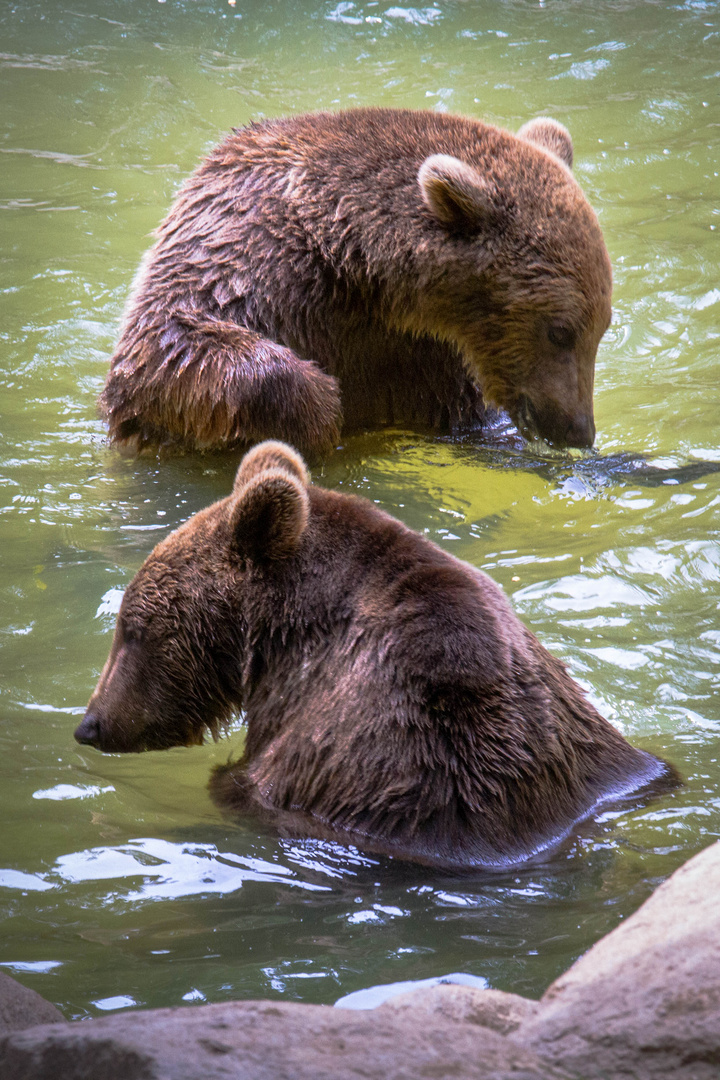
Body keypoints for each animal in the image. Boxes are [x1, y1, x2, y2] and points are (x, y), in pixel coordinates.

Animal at [99, 110, 608, 460]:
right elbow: (166, 346)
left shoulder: (425, 358)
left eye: (600, 328)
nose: (579, 429)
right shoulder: (248, 255)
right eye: (561, 332)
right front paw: (319, 413)